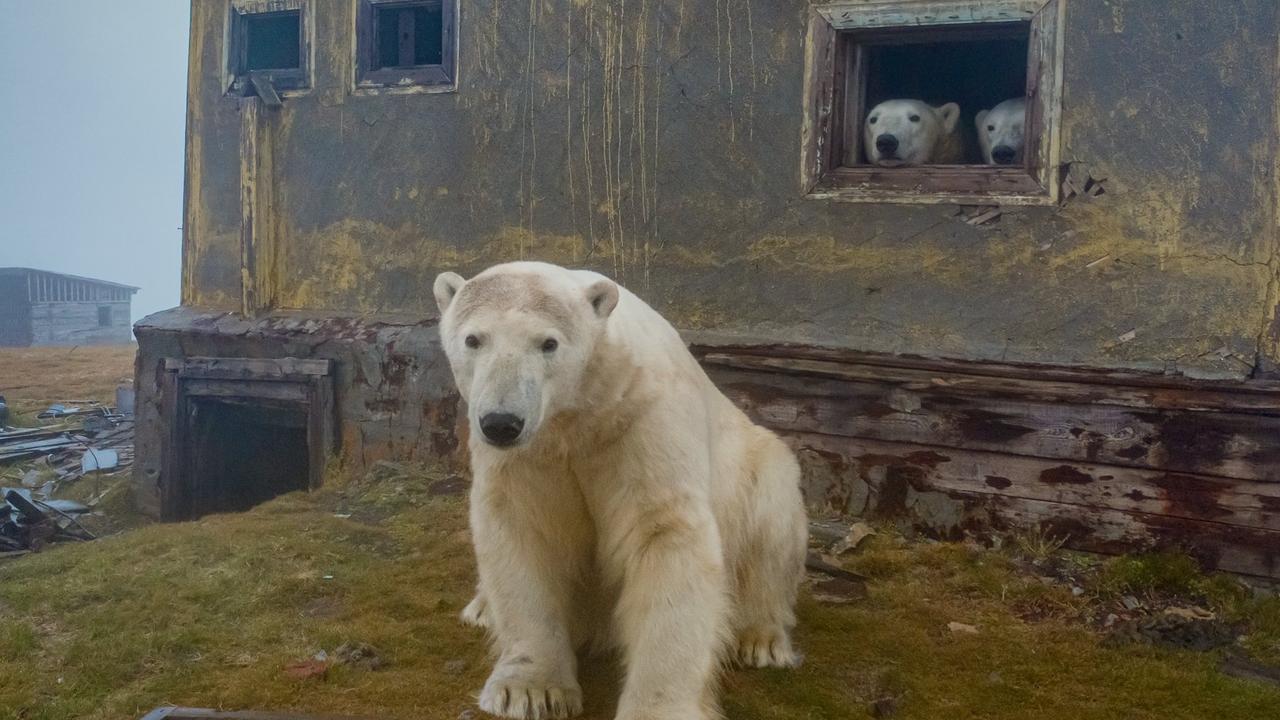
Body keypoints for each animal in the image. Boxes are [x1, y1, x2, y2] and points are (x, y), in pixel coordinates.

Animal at [435, 258, 803, 717]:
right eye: (473, 339)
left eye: (548, 343)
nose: (502, 422)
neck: (580, 416)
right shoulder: (528, 456)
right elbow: (524, 532)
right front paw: (529, 690)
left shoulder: (640, 422)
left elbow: (663, 536)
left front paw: (659, 707)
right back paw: (482, 607)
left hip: (755, 467)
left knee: (771, 525)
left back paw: (760, 638)